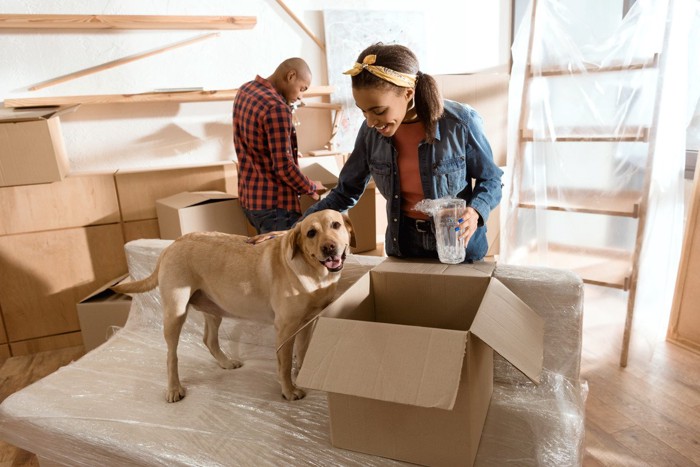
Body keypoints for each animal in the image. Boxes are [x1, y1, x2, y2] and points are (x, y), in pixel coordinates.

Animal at [115, 210, 358, 404]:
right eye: (311, 233)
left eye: (336, 225)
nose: (329, 248)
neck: (314, 272)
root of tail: (171, 245)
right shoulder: (285, 328)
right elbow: (285, 363)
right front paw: (289, 391)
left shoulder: (308, 323)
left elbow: (303, 353)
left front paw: (302, 375)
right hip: (175, 313)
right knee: (171, 355)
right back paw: (174, 388)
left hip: (213, 309)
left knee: (209, 339)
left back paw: (225, 362)